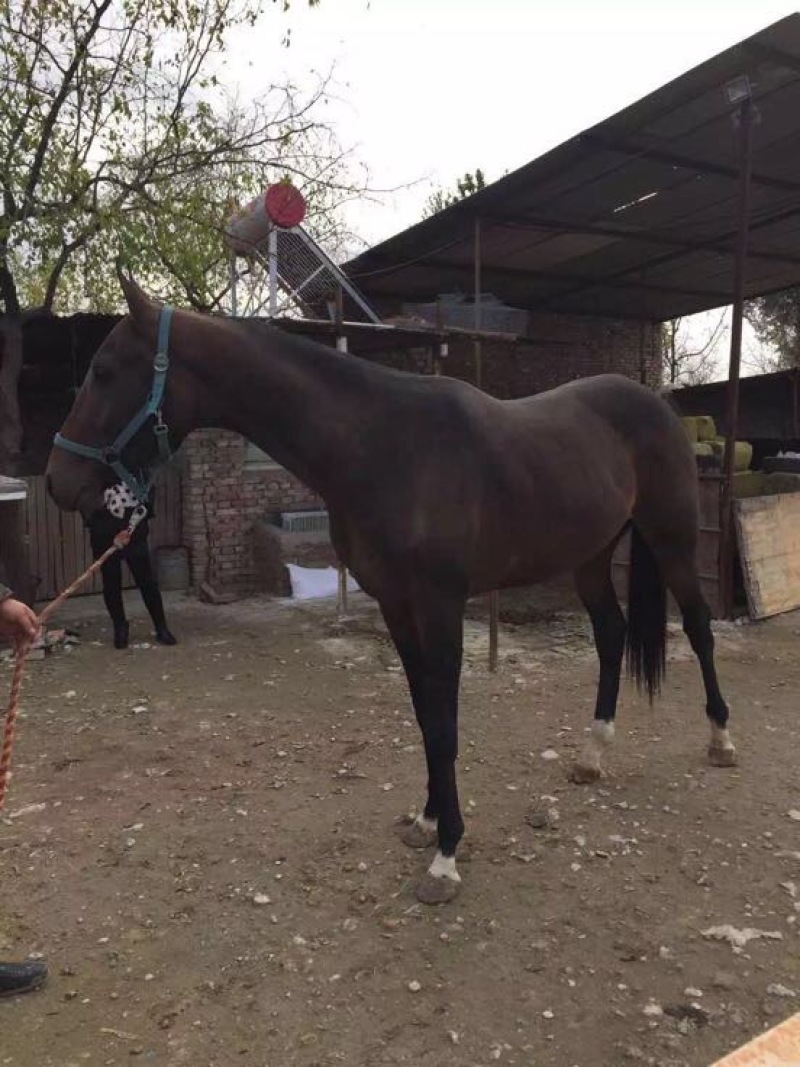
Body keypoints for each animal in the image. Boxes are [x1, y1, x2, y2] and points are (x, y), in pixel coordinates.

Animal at [46, 273, 736, 905]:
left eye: (104, 371)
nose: (58, 481)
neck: (383, 445)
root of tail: (656, 403)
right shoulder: (396, 606)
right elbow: (424, 714)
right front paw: (428, 821)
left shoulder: (441, 604)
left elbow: (447, 723)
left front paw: (447, 856)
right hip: (590, 555)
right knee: (612, 634)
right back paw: (592, 755)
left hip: (671, 541)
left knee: (698, 627)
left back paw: (720, 739)